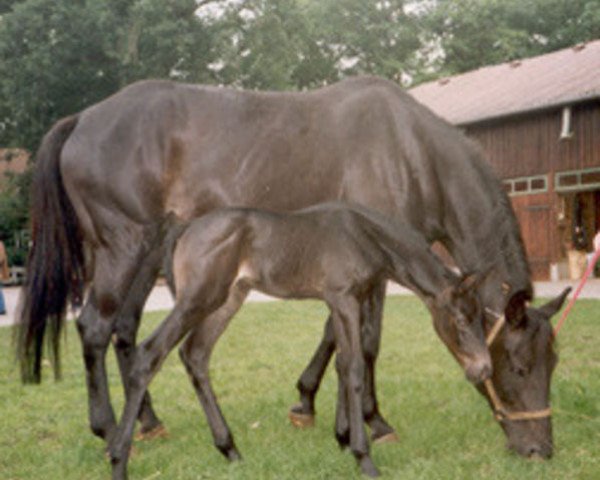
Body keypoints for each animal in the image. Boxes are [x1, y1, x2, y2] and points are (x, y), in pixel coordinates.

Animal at [108, 204, 492, 478]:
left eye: (483, 319)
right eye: (460, 320)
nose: (484, 369)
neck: (364, 234)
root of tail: (185, 228)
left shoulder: (347, 300)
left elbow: (341, 364)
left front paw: (342, 439)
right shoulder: (343, 298)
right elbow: (354, 367)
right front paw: (363, 457)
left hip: (228, 298)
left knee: (195, 355)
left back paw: (230, 450)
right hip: (198, 298)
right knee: (150, 353)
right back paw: (118, 459)